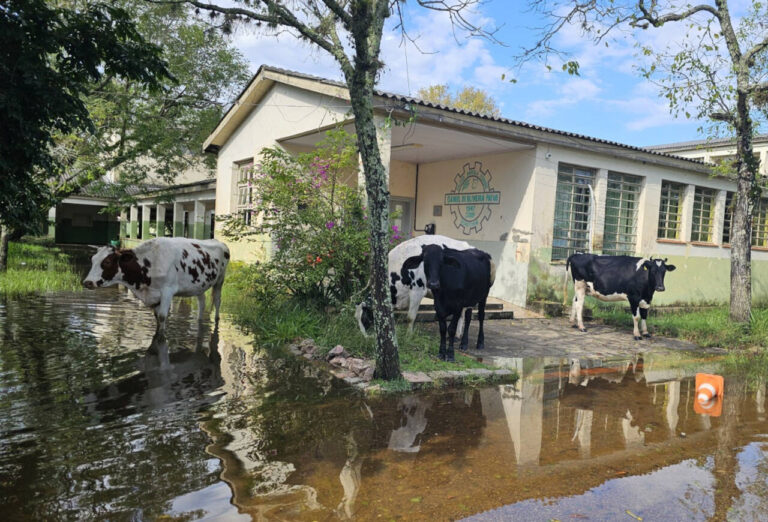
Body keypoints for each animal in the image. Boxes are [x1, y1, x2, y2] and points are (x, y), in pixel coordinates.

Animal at [84, 237, 230, 338]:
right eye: (92, 260)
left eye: (107, 262)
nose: (87, 282)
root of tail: (218, 241)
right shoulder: (153, 296)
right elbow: (156, 317)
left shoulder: (167, 291)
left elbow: (162, 316)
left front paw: (161, 337)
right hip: (199, 284)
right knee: (202, 302)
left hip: (220, 280)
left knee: (217, 300)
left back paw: (216, 319)